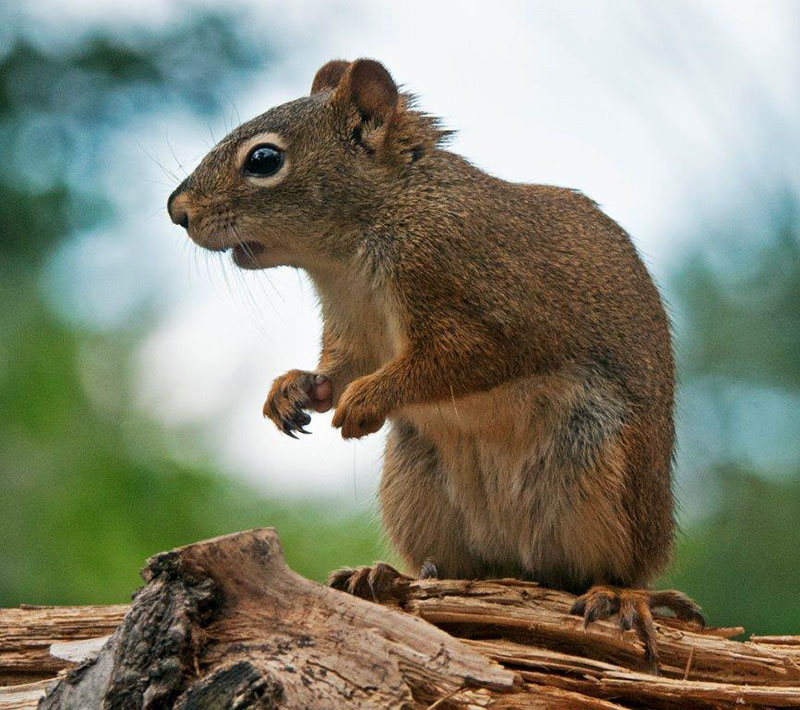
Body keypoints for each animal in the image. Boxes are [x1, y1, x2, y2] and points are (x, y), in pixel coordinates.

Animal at [168, 58, 704, 672]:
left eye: (263, 159)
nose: (177, 212)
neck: (354, 245)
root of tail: (519, 563)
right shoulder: (353, 328)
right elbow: (339, 369)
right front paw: (293, 390)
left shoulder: (477, 299)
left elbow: (456, 359)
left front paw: (366, 400)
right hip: (417, 485)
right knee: (454, 567)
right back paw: (380, 576)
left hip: (605, 469)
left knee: (616, 566)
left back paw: (619, 594)